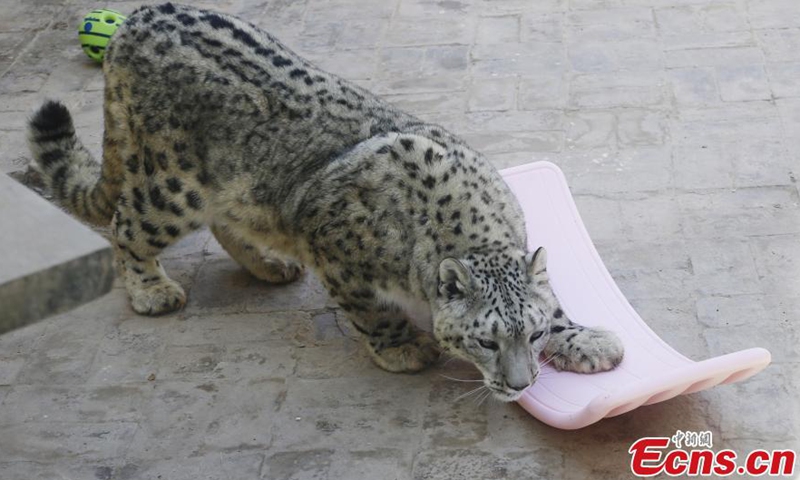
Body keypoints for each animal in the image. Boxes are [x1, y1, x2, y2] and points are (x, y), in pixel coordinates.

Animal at [27, 2, 623, 401]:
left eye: (534, 332)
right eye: (486, 342)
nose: (521, 385)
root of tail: (138, 18)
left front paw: (588, 340)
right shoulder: (335, 251)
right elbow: (369, 309)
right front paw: (403, 348)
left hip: (231, 186)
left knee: (226, 221)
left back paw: (269, 265)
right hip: (172, 186)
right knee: (127, 222)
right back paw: (153, 291)